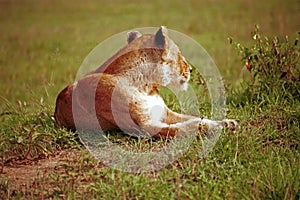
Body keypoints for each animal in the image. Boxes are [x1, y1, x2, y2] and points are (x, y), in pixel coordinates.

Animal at [54, 26, 237, 138]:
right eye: (179, 53)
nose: (191, 69)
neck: (145, 85)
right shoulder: (144, 126)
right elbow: (188, 126)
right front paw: (217, 128)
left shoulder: (165, 113)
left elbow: (196, 118)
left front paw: (226, 122)